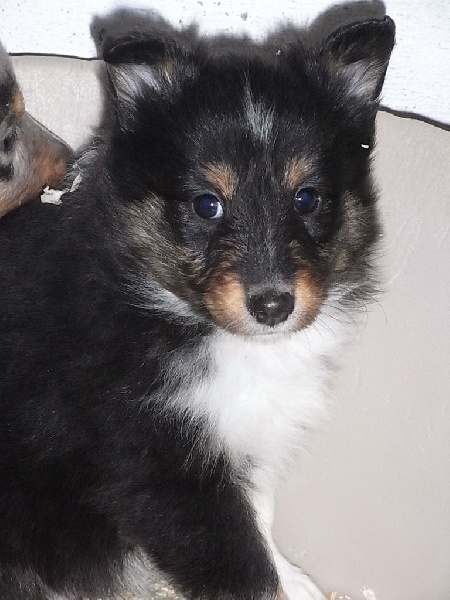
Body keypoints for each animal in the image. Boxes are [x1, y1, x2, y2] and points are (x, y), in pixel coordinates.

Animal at [0, 16, 395, 600]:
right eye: (208, 204)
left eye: (307, 198)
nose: (273, 305)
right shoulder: (161, 465)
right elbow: (243, 565)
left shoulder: (242, 434)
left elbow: (259, 516)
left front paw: (299, 581)